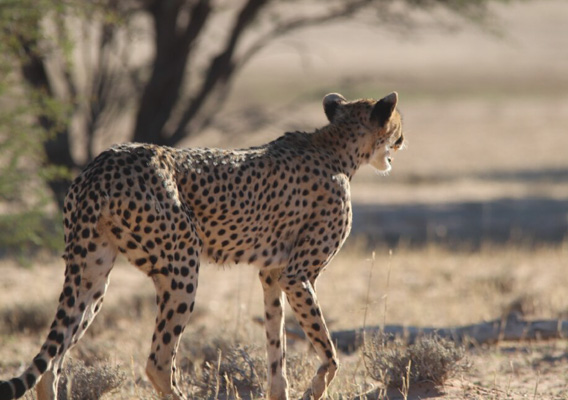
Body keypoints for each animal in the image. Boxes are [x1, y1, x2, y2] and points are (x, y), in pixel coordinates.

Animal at [0, 91, 404, 400]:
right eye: (398, 128)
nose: (402, 141)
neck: (336, 146)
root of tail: (105, 160)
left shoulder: (273, 274)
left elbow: (277, 346)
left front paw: (282, 390)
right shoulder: (298, 274)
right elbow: (329, 351)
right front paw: (317, 387)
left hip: (92, 274)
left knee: (51, 364)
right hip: (182, 266)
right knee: (158, 362)